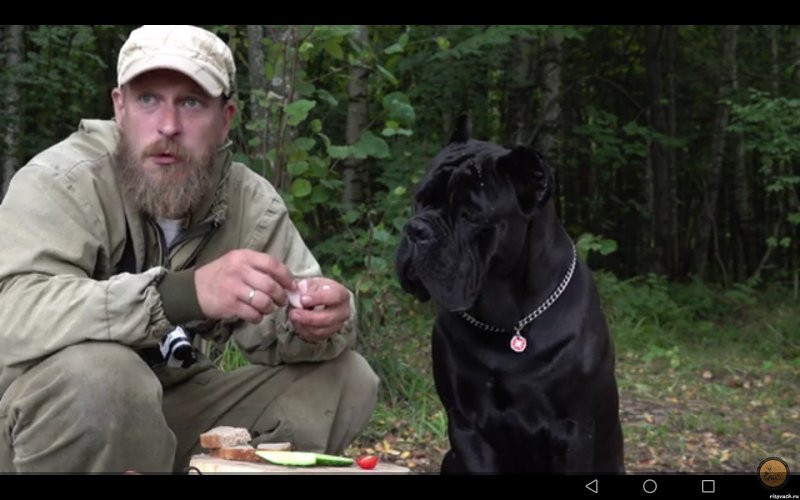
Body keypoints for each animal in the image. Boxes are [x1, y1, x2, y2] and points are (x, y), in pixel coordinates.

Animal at [394, 121, 624, 472]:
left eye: (468, 216)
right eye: (420, 200)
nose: (416, 229)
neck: (507, 318)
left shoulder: (573, 429)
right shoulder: (465, 425)